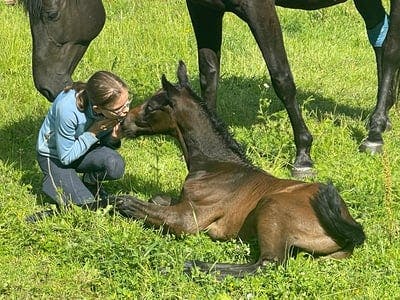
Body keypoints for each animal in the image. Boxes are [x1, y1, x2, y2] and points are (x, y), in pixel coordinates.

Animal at [21, 0, 400, 177]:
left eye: (51, 12)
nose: (47, 85)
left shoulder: (260, 10)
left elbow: (281, 77)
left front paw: (303, 154)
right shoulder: (204, 9)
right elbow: (208, 74)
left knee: (390, 46)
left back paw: (375, 131)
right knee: (379, 39)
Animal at [116, 61, 366, 278]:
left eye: (151, 106)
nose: (123, 123)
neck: (215, 165)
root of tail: (350, 227)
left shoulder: (187, 219)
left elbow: (129, 203)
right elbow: (157, 199)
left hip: (271, 207)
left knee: (266, 264)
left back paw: (192, 265)